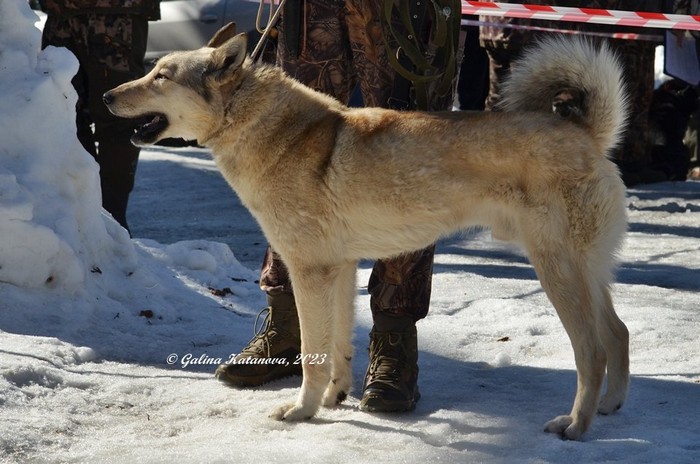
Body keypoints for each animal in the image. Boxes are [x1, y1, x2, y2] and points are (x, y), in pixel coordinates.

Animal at [104, 23, 630, 440]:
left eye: (161, 76)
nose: (106, 96)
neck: (267, 129)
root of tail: (585, 133)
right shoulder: (338, 269)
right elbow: (338, 349)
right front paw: (333, 399)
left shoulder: (309, 271)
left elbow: (313, 354)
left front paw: (302, 410)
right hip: (586, 273)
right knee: (618, 333)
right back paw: (609, 407)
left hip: (556, 272)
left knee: (592, 352)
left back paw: (576, 425)